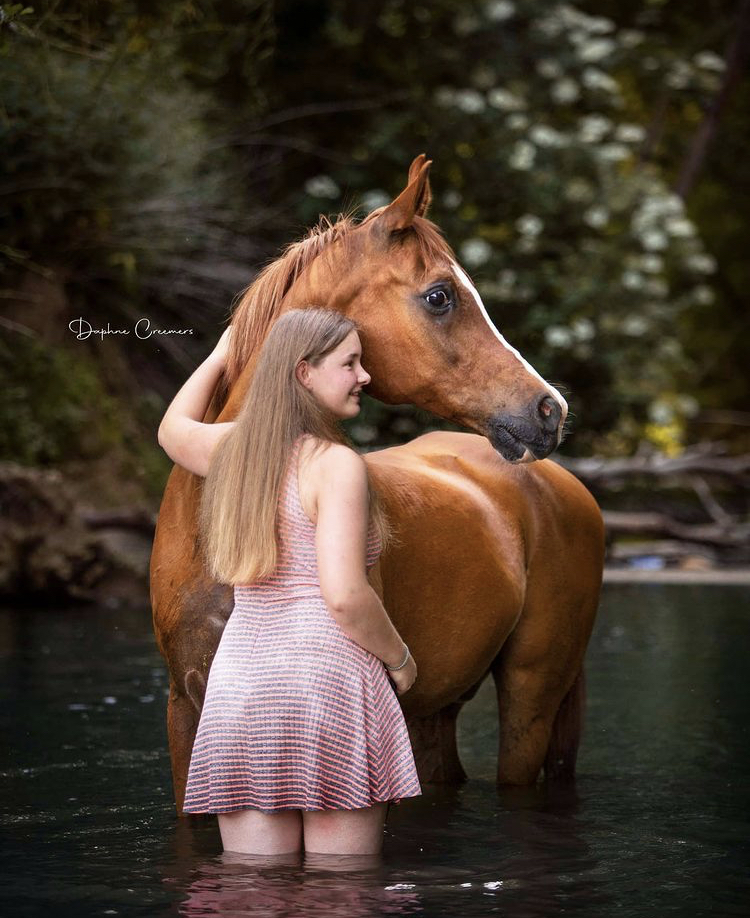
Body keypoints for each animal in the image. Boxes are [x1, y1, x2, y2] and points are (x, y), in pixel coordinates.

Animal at [150, 155, 605, 815]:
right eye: (440, 296)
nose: (549, 409)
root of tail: (564, 488)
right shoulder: (187, 718)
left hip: (530, 702)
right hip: (437, 712)